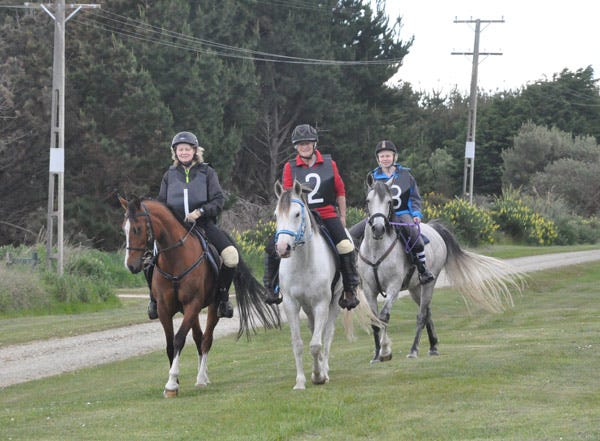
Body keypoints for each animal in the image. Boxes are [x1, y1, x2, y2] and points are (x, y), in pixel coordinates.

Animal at [120, 196, 282, 396]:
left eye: (137, 229)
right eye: (124, 228)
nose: (131, 265)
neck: (175, 260)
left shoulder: (193, 304)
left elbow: (179, 339)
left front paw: (172, 383)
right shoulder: (164, 309)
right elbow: (170, 343)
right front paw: (175, 381)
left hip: (211, 307)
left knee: (206, 340)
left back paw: (201, 378)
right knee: (198, 338)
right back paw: (202, 375)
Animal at [276, 180, 356, 390]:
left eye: (297, 214)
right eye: (276, 215)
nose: (282, 248)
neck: (303, 263)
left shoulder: (321, 304)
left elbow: (316, 344)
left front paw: (319, 376)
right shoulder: (291, 304)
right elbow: (298, 343)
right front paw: (300, 381)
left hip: (333, 303)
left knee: (326, 336)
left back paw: (324, 368)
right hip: (308, 307)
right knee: (315, 331)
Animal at [358, 179, 524, 360]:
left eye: (389, 202)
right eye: (368, 200)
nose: (378, 228)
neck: (377, 250)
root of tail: (433, 228)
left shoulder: (393, 287)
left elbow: (383, 317)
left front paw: (385, 350)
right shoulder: (369, 289)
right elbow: (374, 321)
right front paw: (376, 355)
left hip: (428, 283)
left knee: (422, 315)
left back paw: (414, 350)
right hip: (415, 288)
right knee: (427, 312)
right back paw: (433, 346)